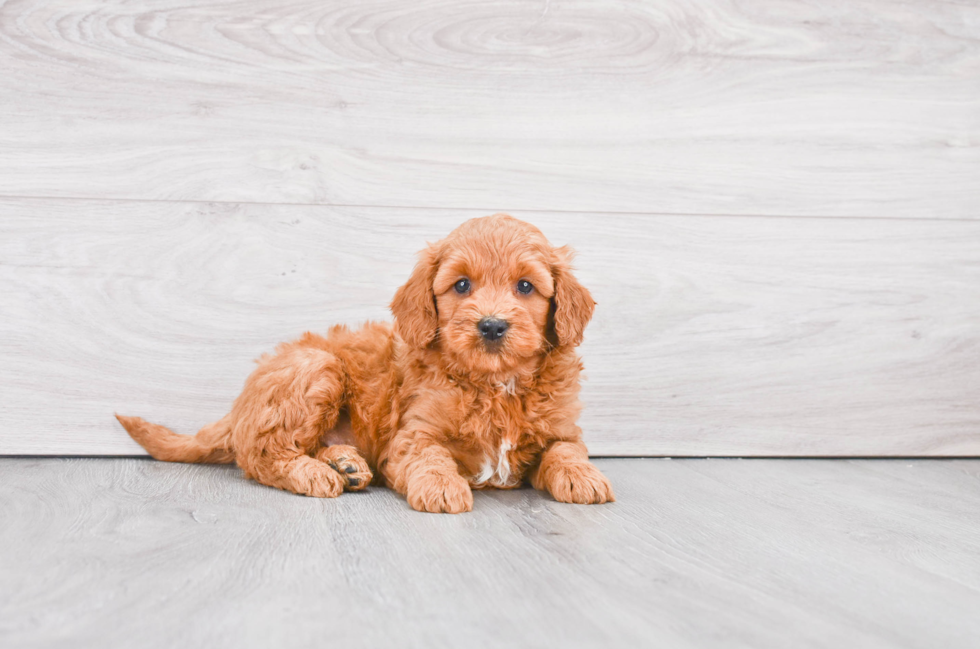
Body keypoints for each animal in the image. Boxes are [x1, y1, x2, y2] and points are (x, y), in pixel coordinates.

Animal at [117, 215, 612, 512]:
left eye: (526, 287)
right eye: (462, 285)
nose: (491, 326)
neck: (496, 383)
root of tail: (240, 403)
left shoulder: (561, 428)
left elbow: (565, 450)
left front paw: (583, 476)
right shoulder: (413, 434)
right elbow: (431, 456)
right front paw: (442, 486)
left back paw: (345, 464)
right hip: (317, 369)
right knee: (262, 454)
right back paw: (317, 472)